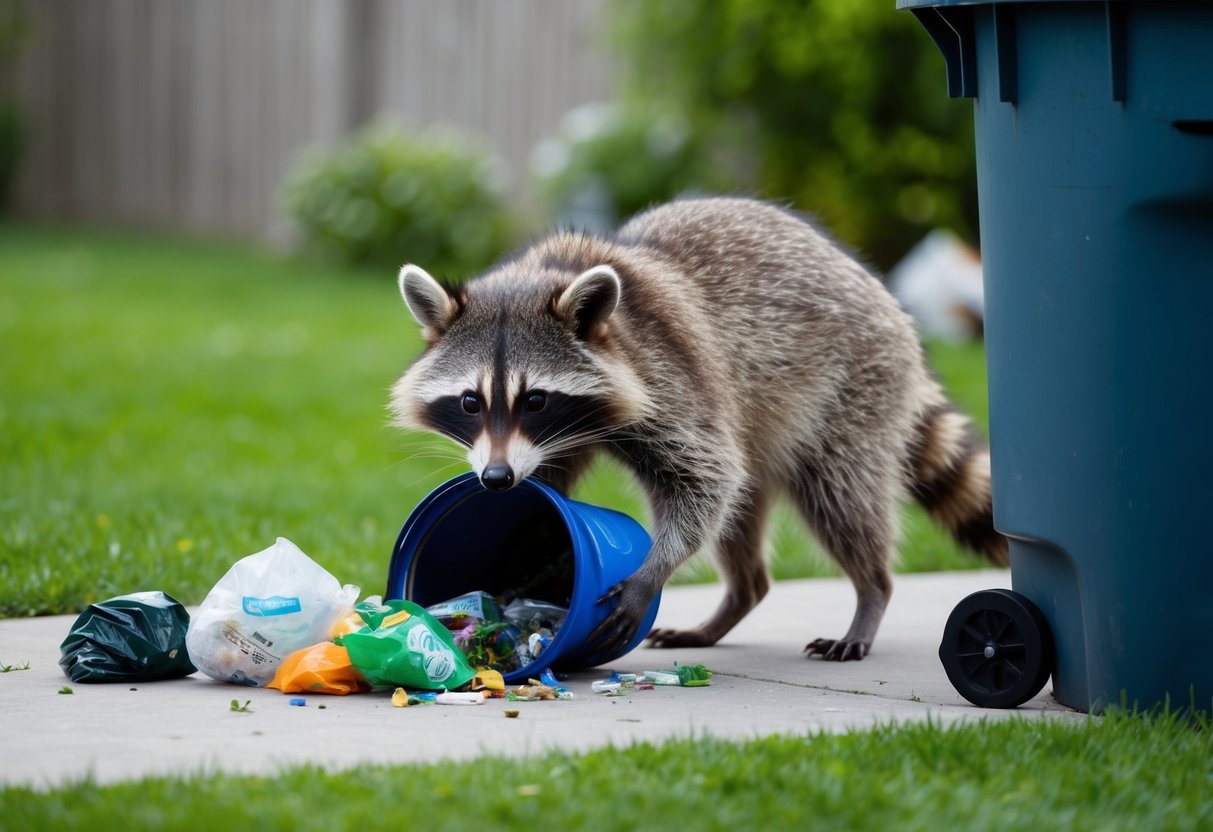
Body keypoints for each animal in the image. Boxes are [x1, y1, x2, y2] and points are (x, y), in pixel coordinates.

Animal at [391, 197, 1008, 661]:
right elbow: (560, 479)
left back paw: (871, 590)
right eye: (471, 402)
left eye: (536, 399)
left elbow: (706, 478)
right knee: (747, 507)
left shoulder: (671, 377)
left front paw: (650, 573)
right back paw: (739, 596)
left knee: (839, 493)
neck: (548, 272)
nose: (495, 479)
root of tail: (886, 298)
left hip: (852, 386)